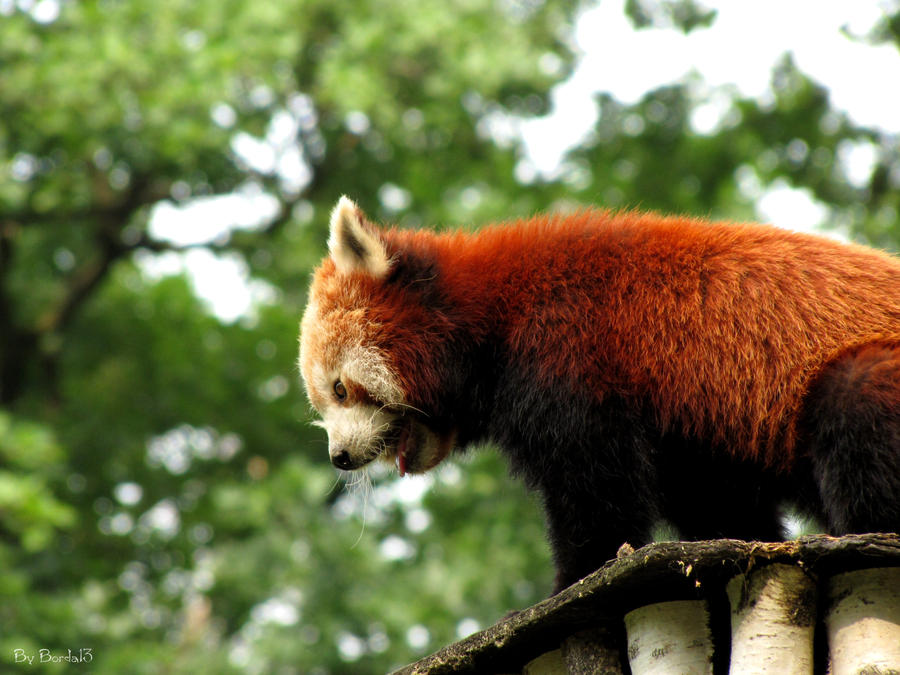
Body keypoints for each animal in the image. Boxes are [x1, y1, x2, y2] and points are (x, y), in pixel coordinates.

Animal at [300, 195, 900, 592]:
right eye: (323, 403)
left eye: (340, 388)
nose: (339, 457)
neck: (492, 315)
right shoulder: (688, 429)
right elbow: (718, 504)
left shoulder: (569, 355)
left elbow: (594, 488)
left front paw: (575, 578)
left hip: (868, 373)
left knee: (856, 416)